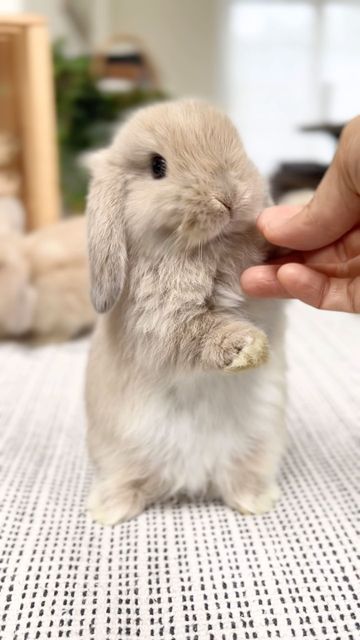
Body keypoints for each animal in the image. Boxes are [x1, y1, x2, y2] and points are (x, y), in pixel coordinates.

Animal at [86, 97, 286, 524]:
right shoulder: (159, 324)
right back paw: (108, 510)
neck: (208, 250)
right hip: (119, 455)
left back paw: (256, 501)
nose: (229, 196)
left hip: (258, 447)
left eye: (237, 143)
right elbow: (199, 334)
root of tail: (195, 480)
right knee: (130, 481)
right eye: (157, 166)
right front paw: (249, 348)